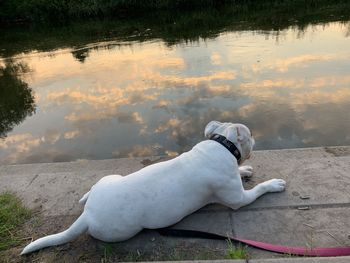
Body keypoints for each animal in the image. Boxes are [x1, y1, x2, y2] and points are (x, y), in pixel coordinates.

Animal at [21, 121, 286, 256]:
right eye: (251, 134)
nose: (256, 139)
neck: (221, 144)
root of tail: (87, 216)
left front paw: (245, 170)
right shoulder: (239, 199)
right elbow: (259, 189)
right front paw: (273, 183)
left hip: (110, 178)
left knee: (92, 188)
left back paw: (85, 197)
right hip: (120, 232)